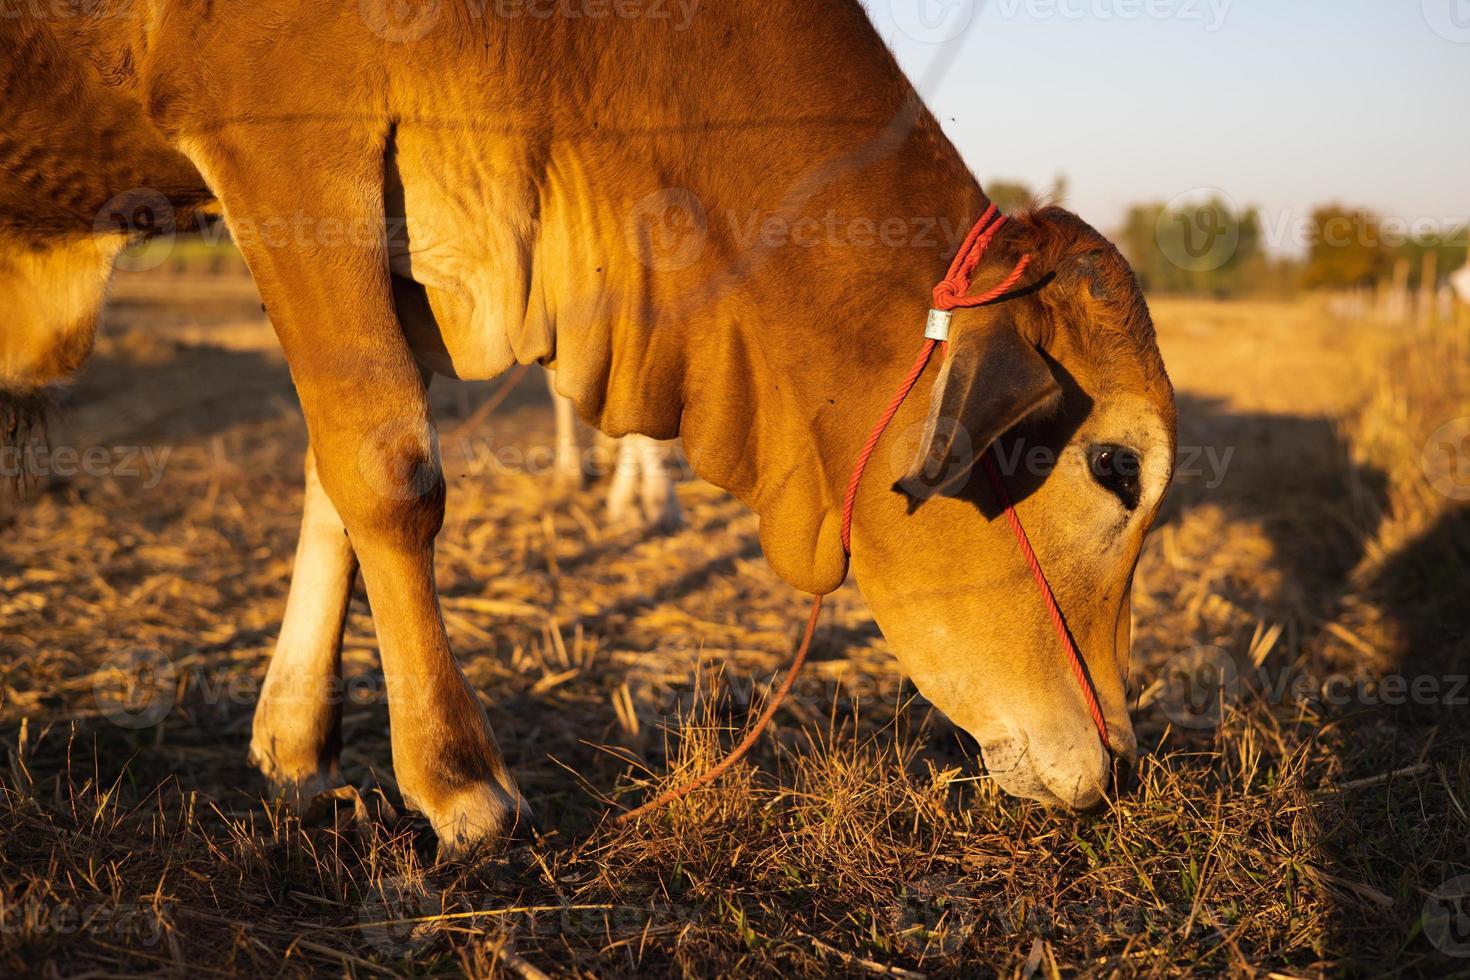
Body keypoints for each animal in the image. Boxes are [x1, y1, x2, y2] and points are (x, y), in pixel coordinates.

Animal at [0, 3, 1170, 852]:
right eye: (1118, 466)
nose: (1120, 763)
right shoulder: (283, 142)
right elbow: (388, 470)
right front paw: (459, 781)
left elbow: (332, 474)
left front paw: (294, 739)